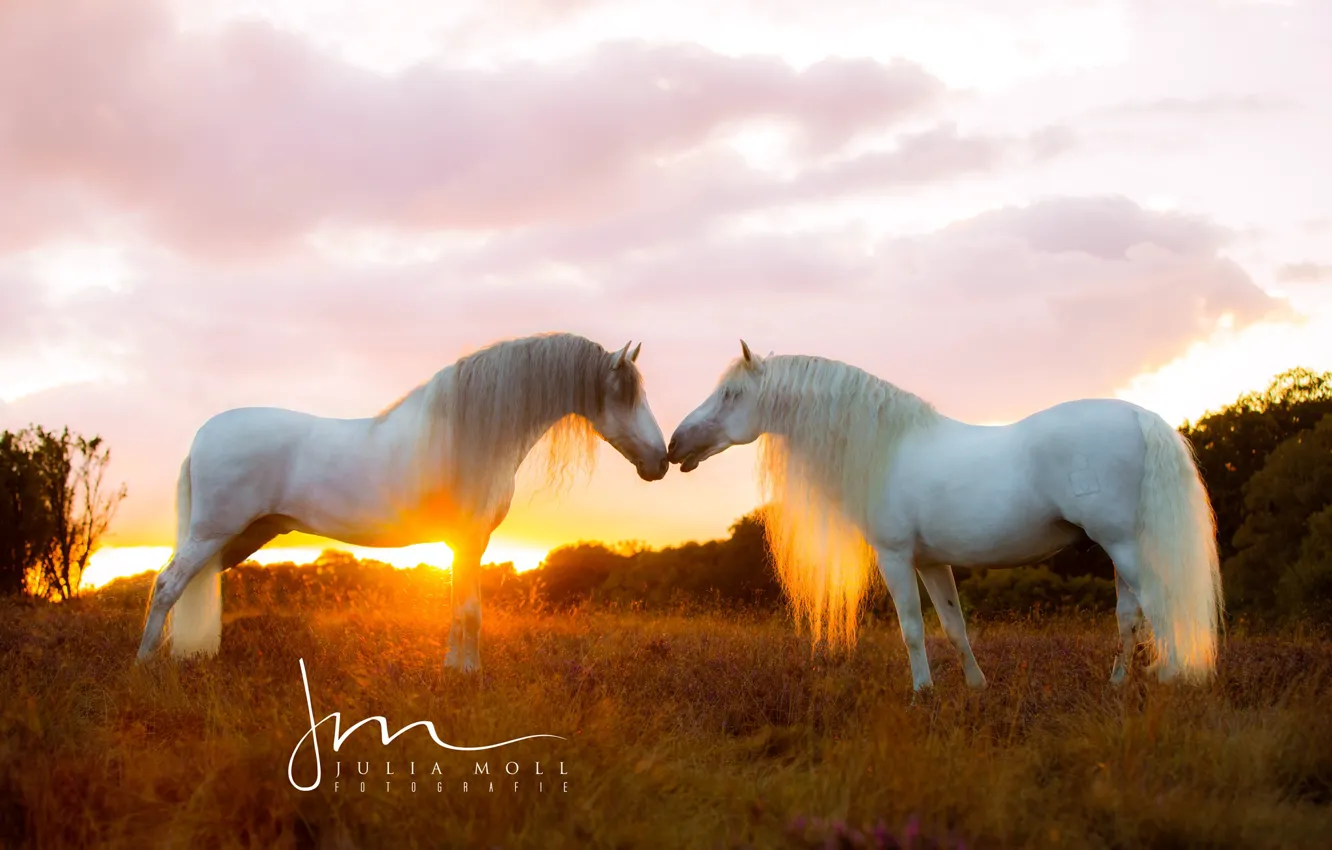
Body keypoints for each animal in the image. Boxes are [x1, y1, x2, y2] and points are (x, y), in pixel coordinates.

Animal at [137, 333, 670, 672]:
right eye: (626, 395)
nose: (661, 461)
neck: (471, 433)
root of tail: (201, 437)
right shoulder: (468, 538)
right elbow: (470, 611)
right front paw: (470, 677)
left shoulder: (466, 544)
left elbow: (459, 606)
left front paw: (454, 670)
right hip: (213, 533)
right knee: (166, 585)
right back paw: (145, 665)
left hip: (242, 536)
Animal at [667, 341, 1222, 692]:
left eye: (732, 395)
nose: (675, 445)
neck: (886, 447)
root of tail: (1142, 417)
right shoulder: (932, 562)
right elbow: (954, 626)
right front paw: (976, 687)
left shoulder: (895, 558)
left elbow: (912, 628)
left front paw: (923, 693)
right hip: (1119, 548)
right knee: (1130, 617)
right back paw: (1118, 684)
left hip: (1124, 546)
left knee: (1159, 607)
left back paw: (1170, 679)